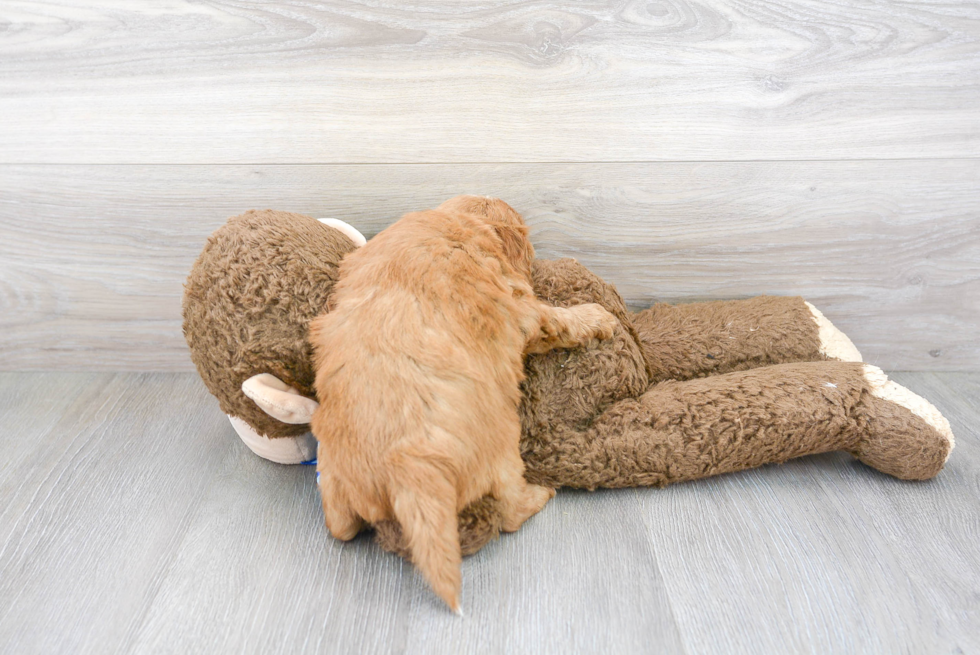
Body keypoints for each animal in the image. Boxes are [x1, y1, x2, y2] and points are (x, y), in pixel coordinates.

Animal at [310, 197, 616, 612]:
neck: (456, 222)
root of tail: (405, 467)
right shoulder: (524, 311)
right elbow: (558, 320)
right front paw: (598, 317)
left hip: (331, 474)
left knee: (339, 527)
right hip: (501, 446)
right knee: (510, 510)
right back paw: (540, 495)